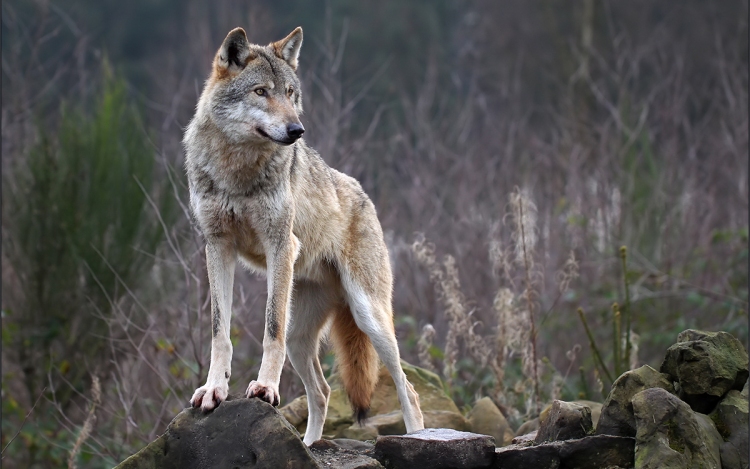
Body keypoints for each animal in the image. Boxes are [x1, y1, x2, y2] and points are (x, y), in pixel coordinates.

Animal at [183, 27, 426, 444]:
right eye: (261, 92)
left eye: (290, 93)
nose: (297, 130)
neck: (237, 170)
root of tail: (364, 195)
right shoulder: (217, 247)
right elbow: (220, 332)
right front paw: (214, 389)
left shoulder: (281, 243)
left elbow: (270, 330)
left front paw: (264, 388)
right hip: (302, 339)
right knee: (323, 392)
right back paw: (309, 445)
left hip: (369, 317)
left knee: (406, 388)